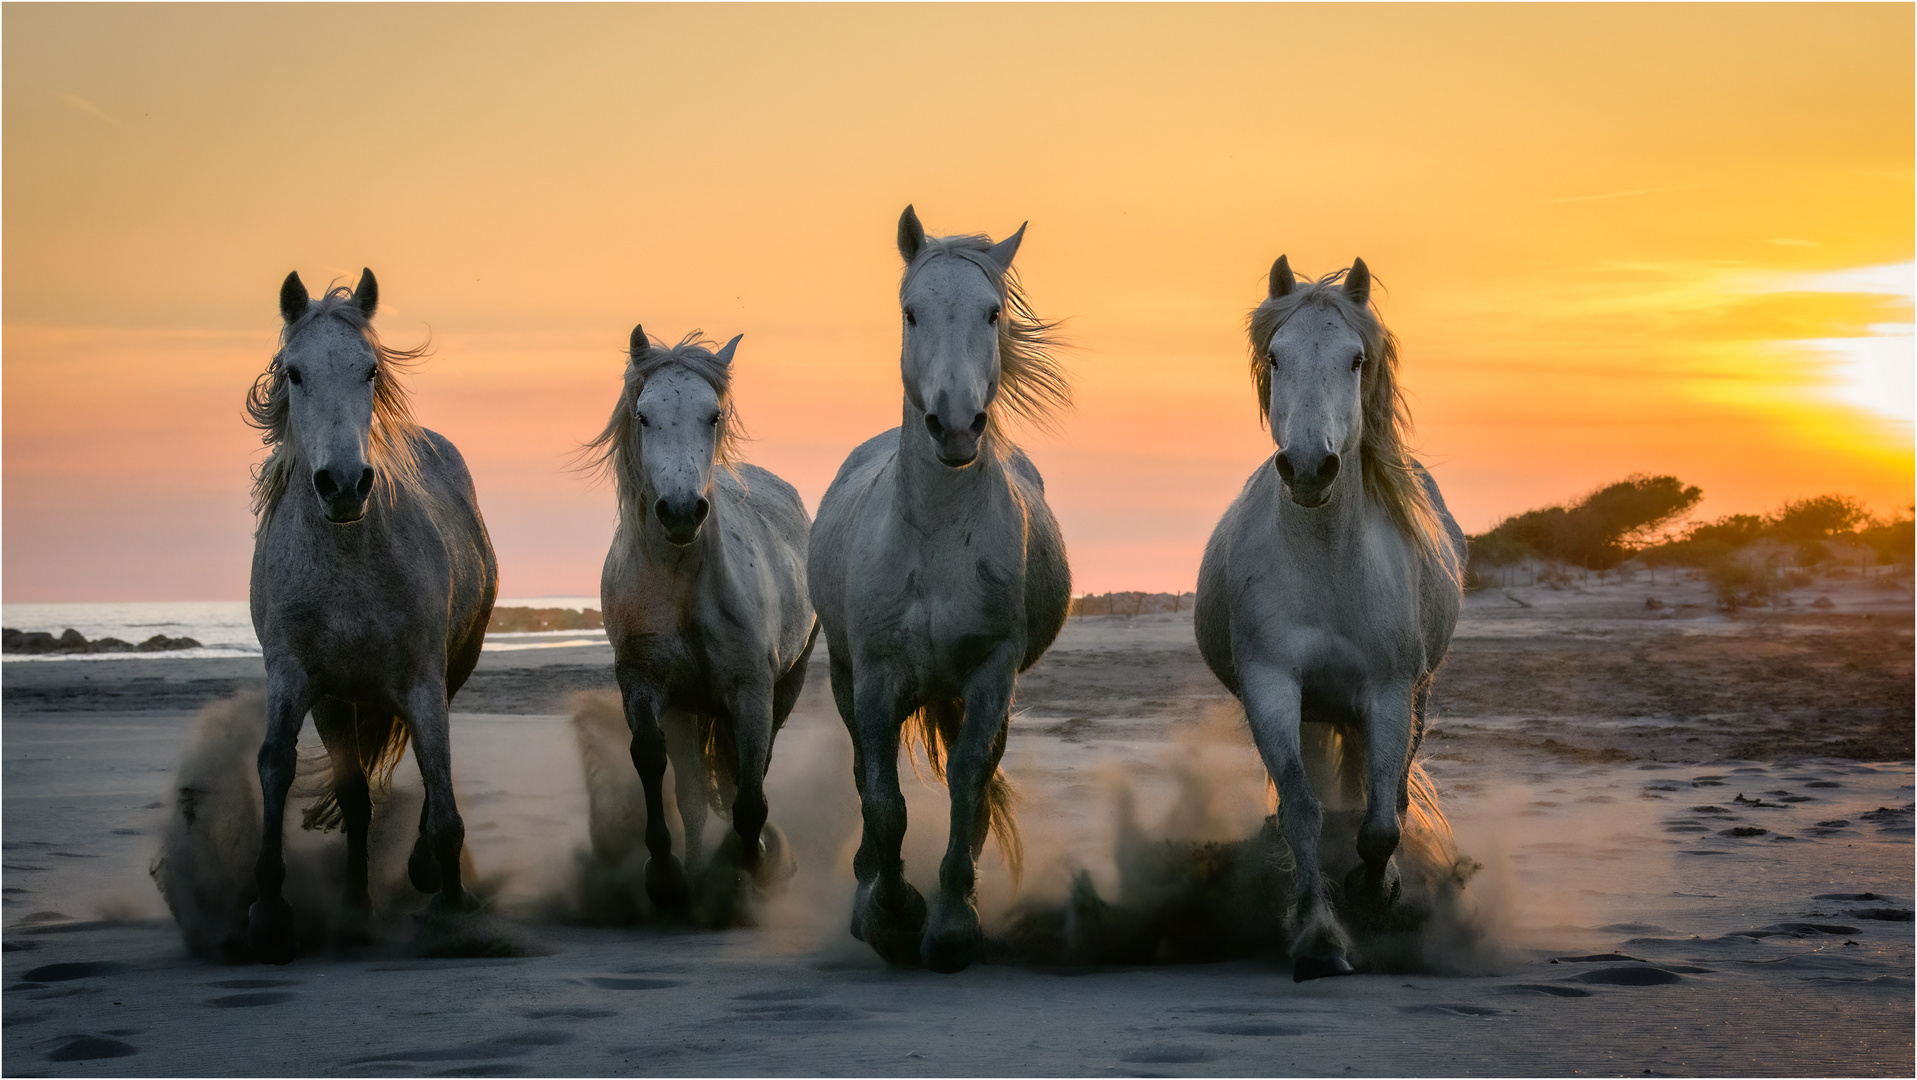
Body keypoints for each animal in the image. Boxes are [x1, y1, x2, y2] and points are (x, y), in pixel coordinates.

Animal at [243, 272, 498, 962]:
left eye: (370, 370)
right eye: (295, 372)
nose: (344, 484)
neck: (348, 563)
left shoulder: (422, 681)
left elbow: (440, 782)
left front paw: (451, 913)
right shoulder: (301, 678)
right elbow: (282, 767)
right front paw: (271, 911)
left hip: (449, 672)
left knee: (433, 774)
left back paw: (428, 875)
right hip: (342, 701)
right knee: (358, 795)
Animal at [586, 329, 820, 913]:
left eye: (712, 415)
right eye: (643, 415)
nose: (680, 511)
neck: (683, 585)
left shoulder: (752, 691)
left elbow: (749, 787)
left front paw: (748, 868)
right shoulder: (644, 683)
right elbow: (652, 763)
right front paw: (666, 876)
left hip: (788, 682)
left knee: (753, 768)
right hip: (687, 708)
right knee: (692, 797)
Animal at [805, 207, 1081, 974]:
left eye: (992, 313)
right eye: (911, 313)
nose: (955, 426)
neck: (933, 536)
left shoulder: (990, 675)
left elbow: (966, 783)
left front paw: (953, 923)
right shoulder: (873, 680)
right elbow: (883, 800)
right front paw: (892, 915)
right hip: (849, 680)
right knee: (863, 777)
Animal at [1196, 257, 1464, 982]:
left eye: (1355, 359)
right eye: (1275, 357)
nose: (1310, 468)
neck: (1326, 568)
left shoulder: (1389, 692)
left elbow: (1381, 821)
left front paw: (1373, 894)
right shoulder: (1272, 686)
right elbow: (1300, 807)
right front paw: (1317, 934)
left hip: (1414, 697)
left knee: (1390, 793)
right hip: (1316, 710)